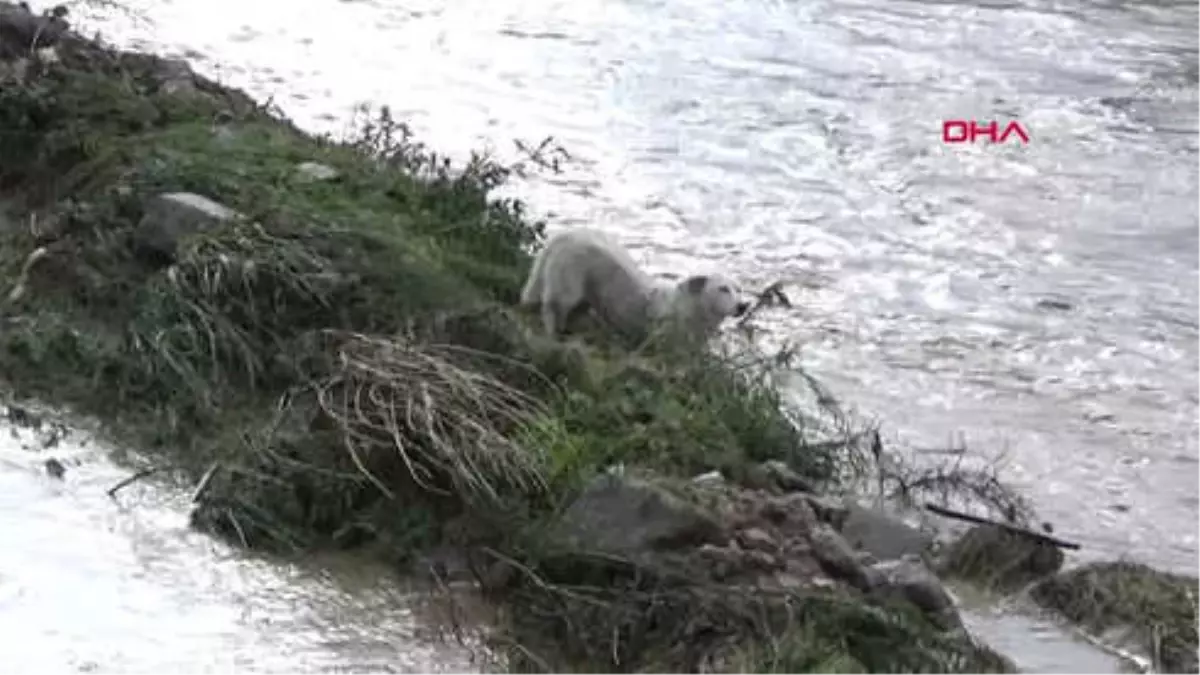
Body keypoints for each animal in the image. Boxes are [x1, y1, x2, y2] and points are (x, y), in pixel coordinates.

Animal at [518, 227, 748, 341]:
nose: (743, 306)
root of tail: (564, 235)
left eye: (738, 289)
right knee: (551, 308)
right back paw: (554, 334)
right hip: (568, 286)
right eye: (723, 289)